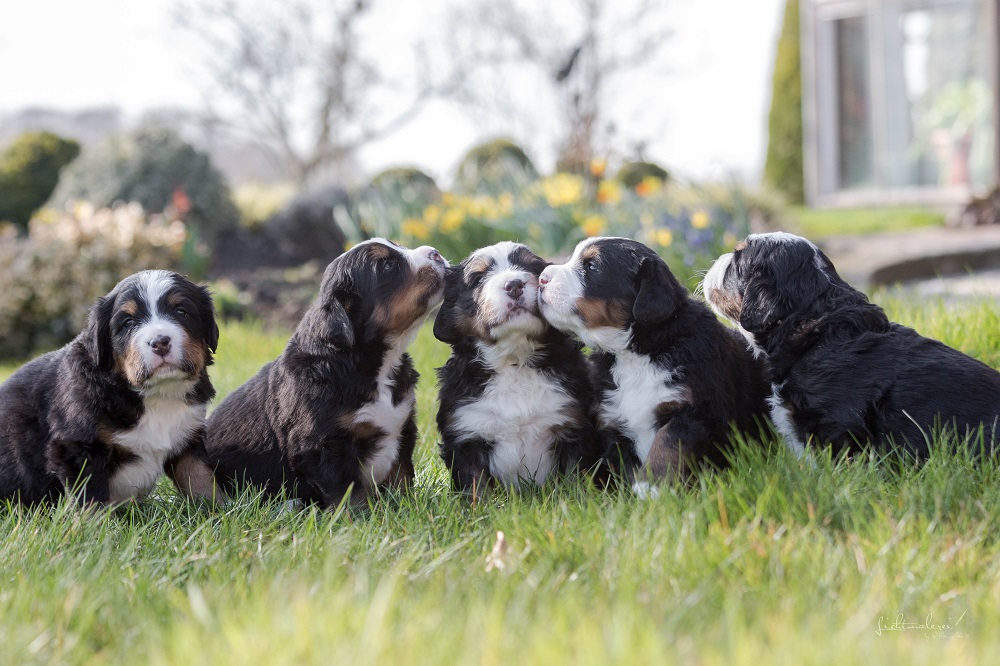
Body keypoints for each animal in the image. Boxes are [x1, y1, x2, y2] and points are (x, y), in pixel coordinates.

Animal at [0, 270, 221, 504]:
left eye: (181, 311)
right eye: (128, 322)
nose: (160, 342)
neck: (157, 393)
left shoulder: (188, 438)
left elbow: (200, 478)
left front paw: (216, 508)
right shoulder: (77, 449)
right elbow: (92, 500)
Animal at [207, 236, 446, 506]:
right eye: (387, 266)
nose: (436, 253)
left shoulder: (403, 428)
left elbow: (402, 478)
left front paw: (408, 508)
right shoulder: (324, 446)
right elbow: (348, 495)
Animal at [540, 236, 764, 490]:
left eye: (591, 266)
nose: (542, 278)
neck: (637, 353)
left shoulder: (693, 410)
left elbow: (665, 447)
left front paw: (652, 490)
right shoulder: (613, 420)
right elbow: (625, 465)